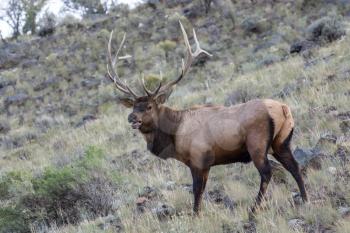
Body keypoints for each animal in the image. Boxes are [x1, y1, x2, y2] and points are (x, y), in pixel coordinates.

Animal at [105, 21, 308, 217]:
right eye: (133, 106)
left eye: (148, 106)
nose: (131, 117)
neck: (174, 134)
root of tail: (283, 109)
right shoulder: (206, 164)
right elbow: (201, 191)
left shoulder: (198, 159)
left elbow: (197, 191)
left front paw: (196, 216)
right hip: (281, 142)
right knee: (294, 166)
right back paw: (305, 200)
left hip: (257, 144)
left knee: (267, 172)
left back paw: (253, 210)